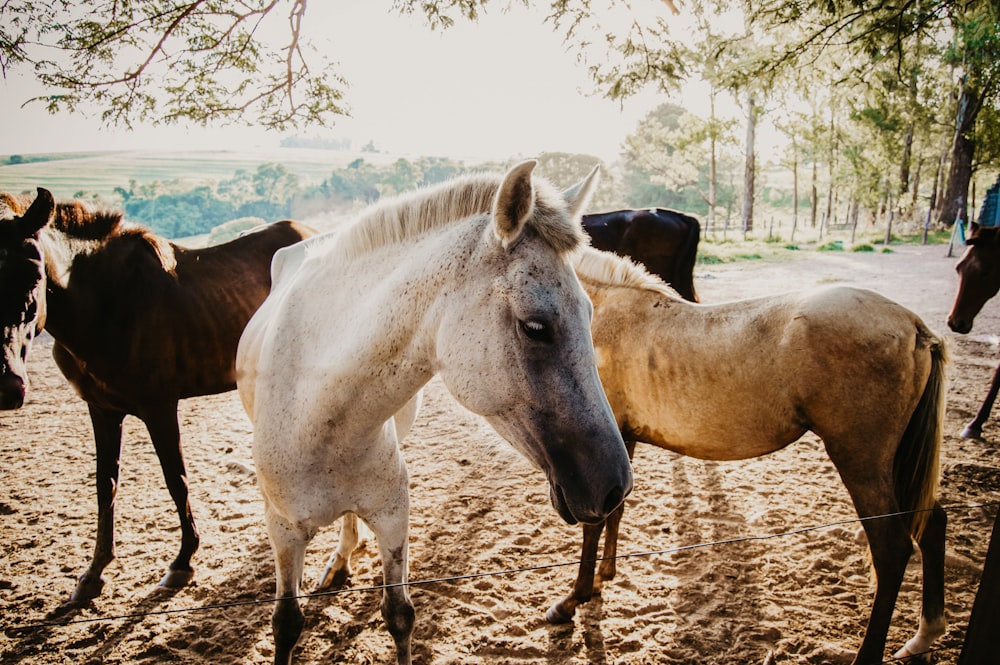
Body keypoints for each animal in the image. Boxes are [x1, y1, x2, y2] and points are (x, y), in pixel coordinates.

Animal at [0, 188, 314, 600]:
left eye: (36, 274)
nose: (8, 388)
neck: (104, 304)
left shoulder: (159, 407)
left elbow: (175, 480)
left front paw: (182, 561)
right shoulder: (101, 409)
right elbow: (106, 484)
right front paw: (94, 572)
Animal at [556, 246, 944, 664]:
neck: (604, 314)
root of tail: (914, 326)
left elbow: (595, 521)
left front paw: (573, 599)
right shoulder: (621, 442)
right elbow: (615, 511)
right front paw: (602, 579)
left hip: (862, 461)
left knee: (892, 549)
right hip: (898, 462)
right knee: (931, 521)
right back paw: (924, 635)